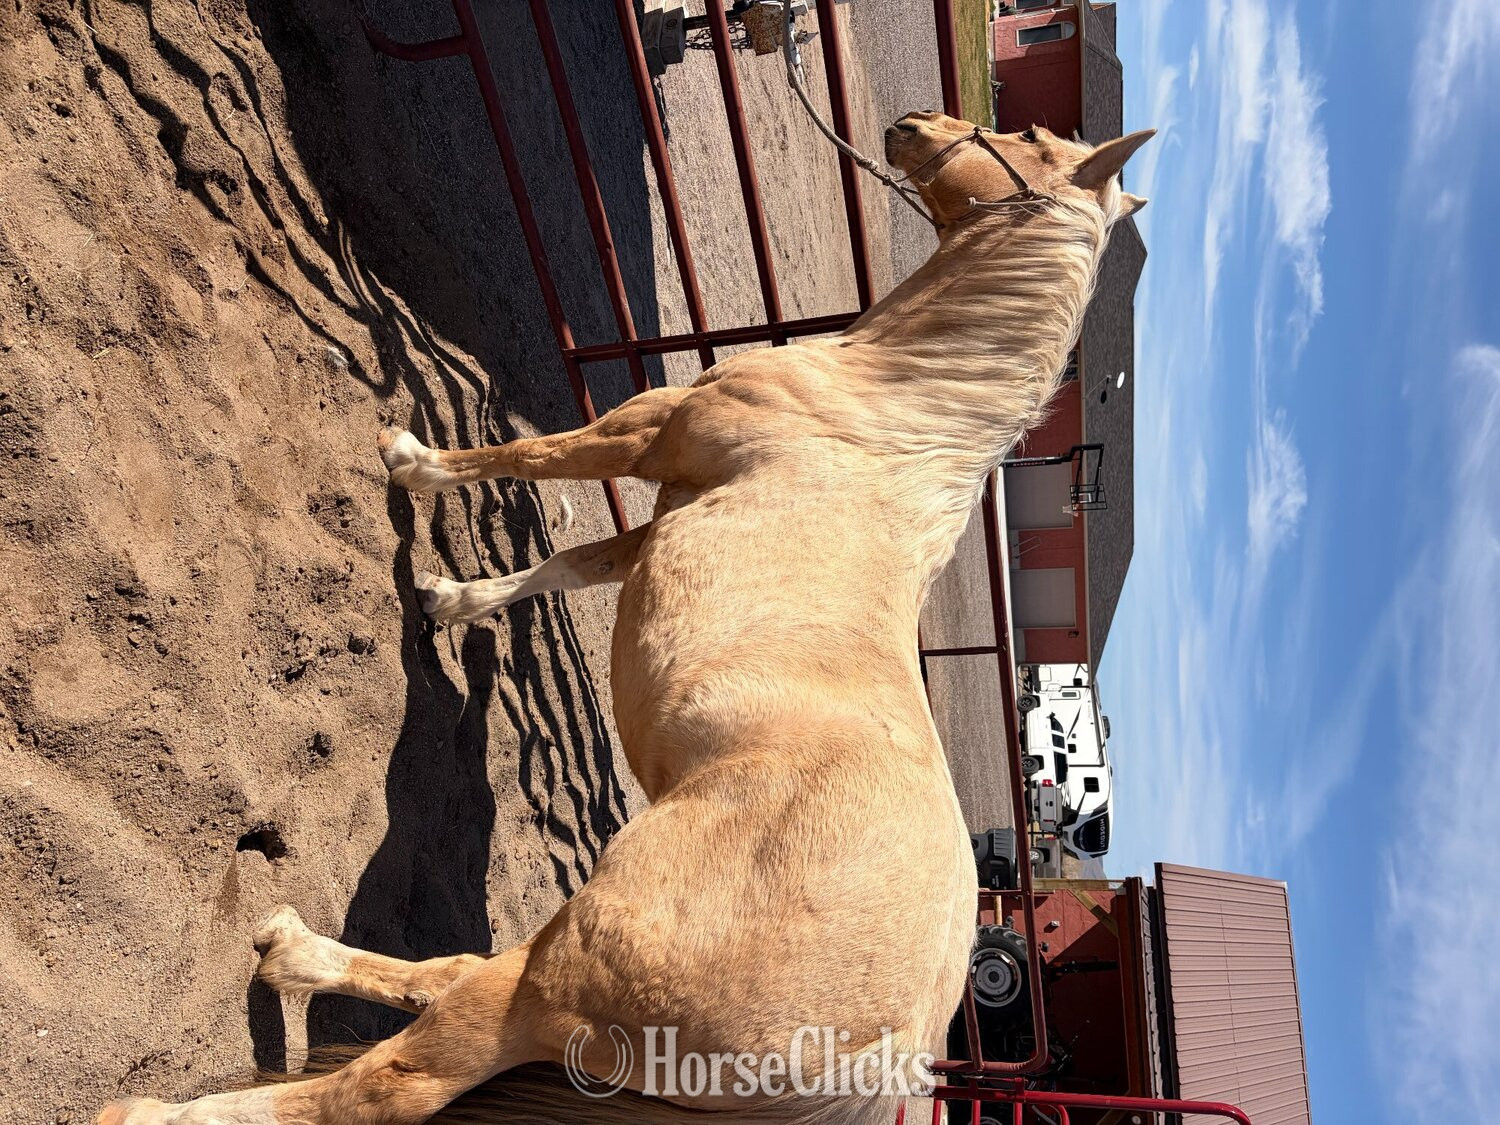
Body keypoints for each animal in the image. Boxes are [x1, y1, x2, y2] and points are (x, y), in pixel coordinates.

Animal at [98, 112, 1151, 1125]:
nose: (912, 123)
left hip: (558, 980)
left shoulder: (646, 430)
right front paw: (451, 603)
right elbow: (567, 563)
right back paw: (290, 951)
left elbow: (527, 456)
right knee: (447, 974)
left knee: (388, 1081)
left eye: (1022, 140)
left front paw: (412, 464)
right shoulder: (661, 515)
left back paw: (153, 1104)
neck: (889, 405)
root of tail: (877, 1060)